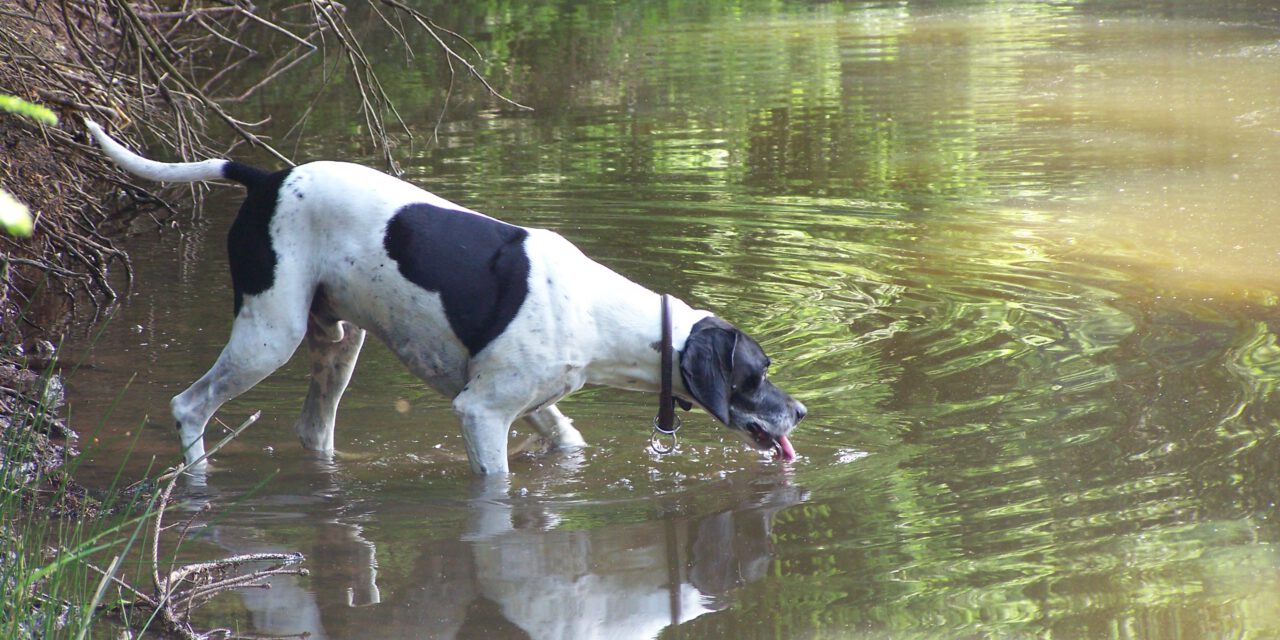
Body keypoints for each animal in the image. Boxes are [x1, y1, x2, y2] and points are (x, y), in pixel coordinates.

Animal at [85, 120, 803, 473]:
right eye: (756, 374)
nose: (799, 412)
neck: (600, 313)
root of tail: (264, 178)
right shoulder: (479, 414)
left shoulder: (535, 409)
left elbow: (567, 444)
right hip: (268, 338)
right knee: (188, 407)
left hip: (338, 346)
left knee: (312, 430)